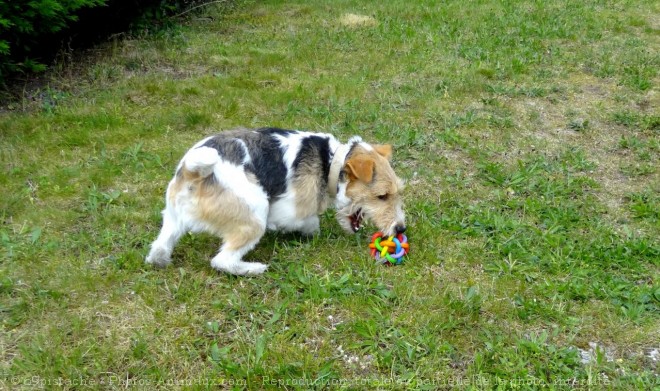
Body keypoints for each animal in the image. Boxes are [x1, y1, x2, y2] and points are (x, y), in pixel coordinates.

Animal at [146, 129, 404, 276]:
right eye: (382, 196)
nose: (401, 229)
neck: (330, 162)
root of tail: (192, 172)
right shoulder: (290, 210)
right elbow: (311, 221)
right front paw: (311, 234)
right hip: (255, 215)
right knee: (222, 261)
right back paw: (254, 269)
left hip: (171, 220)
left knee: (158, 249)